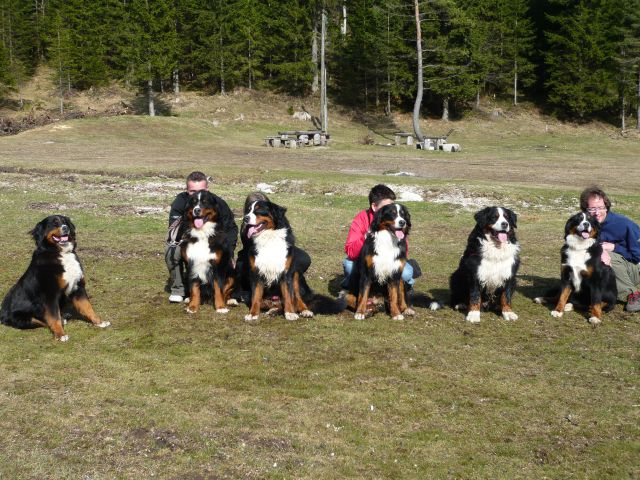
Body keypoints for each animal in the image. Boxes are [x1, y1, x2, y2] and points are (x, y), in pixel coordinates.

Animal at [0, 214, 110, 342]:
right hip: (24, 318)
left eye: (65, 222)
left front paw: (99, 322)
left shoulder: (78, 287)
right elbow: (53, 316)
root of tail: (2, 314)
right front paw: (60, 334)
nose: (65, 228)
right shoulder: (50, 294)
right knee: (44, 321)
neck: (61, 253)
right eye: (54, 223)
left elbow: (88, 307)